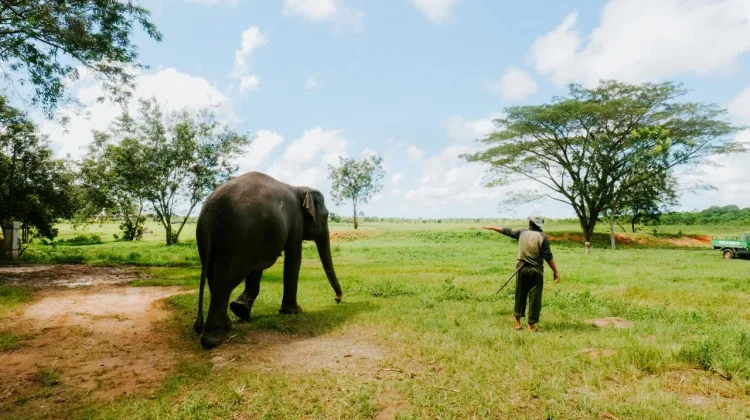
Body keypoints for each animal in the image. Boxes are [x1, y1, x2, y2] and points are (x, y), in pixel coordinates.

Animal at [193, 171, 343, 349]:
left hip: (210, 239)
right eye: (326, 217)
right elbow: (294, 258)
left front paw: (240, 310)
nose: (337, 299)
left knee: (213, 274)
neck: (300, 188)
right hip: (238, 237)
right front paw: (295, 311)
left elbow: (257, 269)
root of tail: (210, 210)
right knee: (226, 279)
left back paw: (227, 325)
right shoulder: (295, 224)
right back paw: (215, 340)